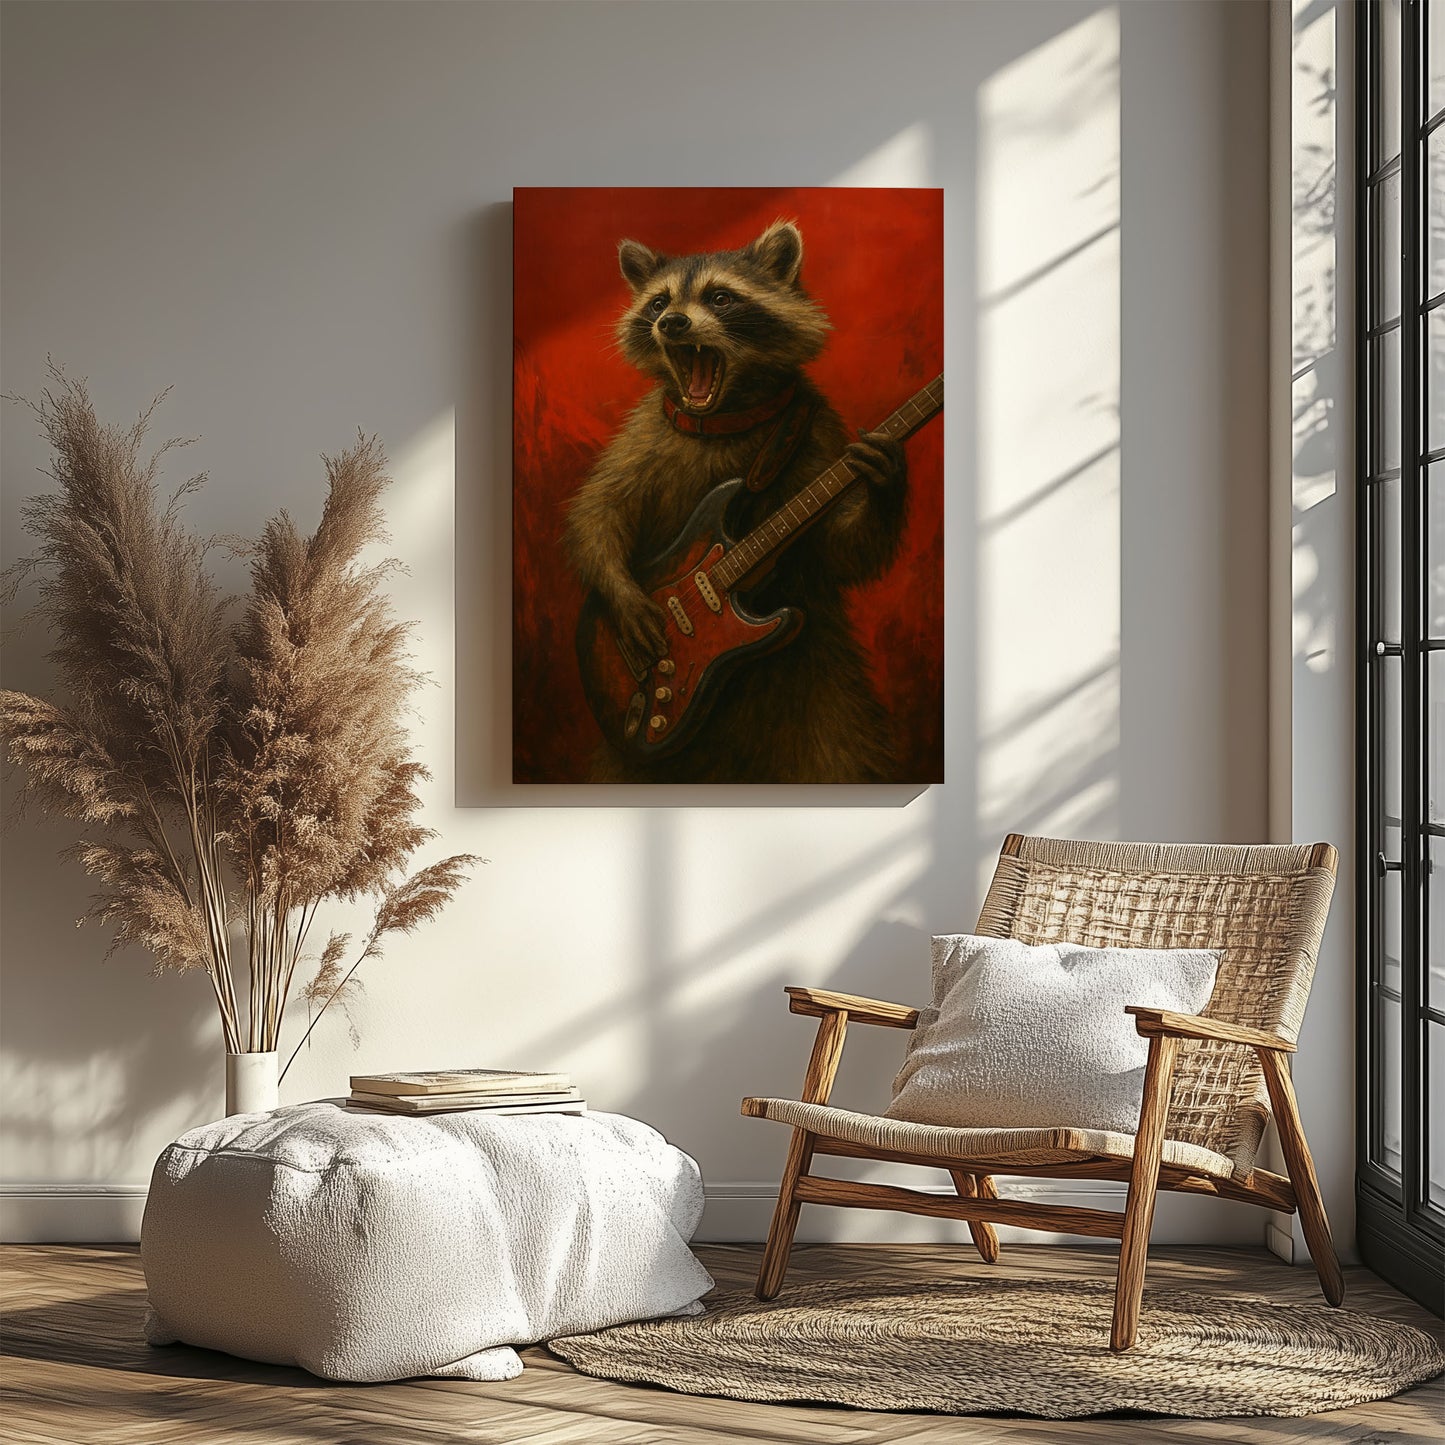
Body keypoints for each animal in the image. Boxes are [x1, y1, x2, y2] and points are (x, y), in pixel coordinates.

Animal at [565, 219, 908, 784]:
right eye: (658, 303)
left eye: (720, 298)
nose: (673, 323)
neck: (725, 417)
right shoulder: (642, 440)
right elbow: (597, 513)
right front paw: (627, 599)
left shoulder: (819, 435)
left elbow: (838, 550)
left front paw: (885, 481)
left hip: (820, 696)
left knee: (839, 753)